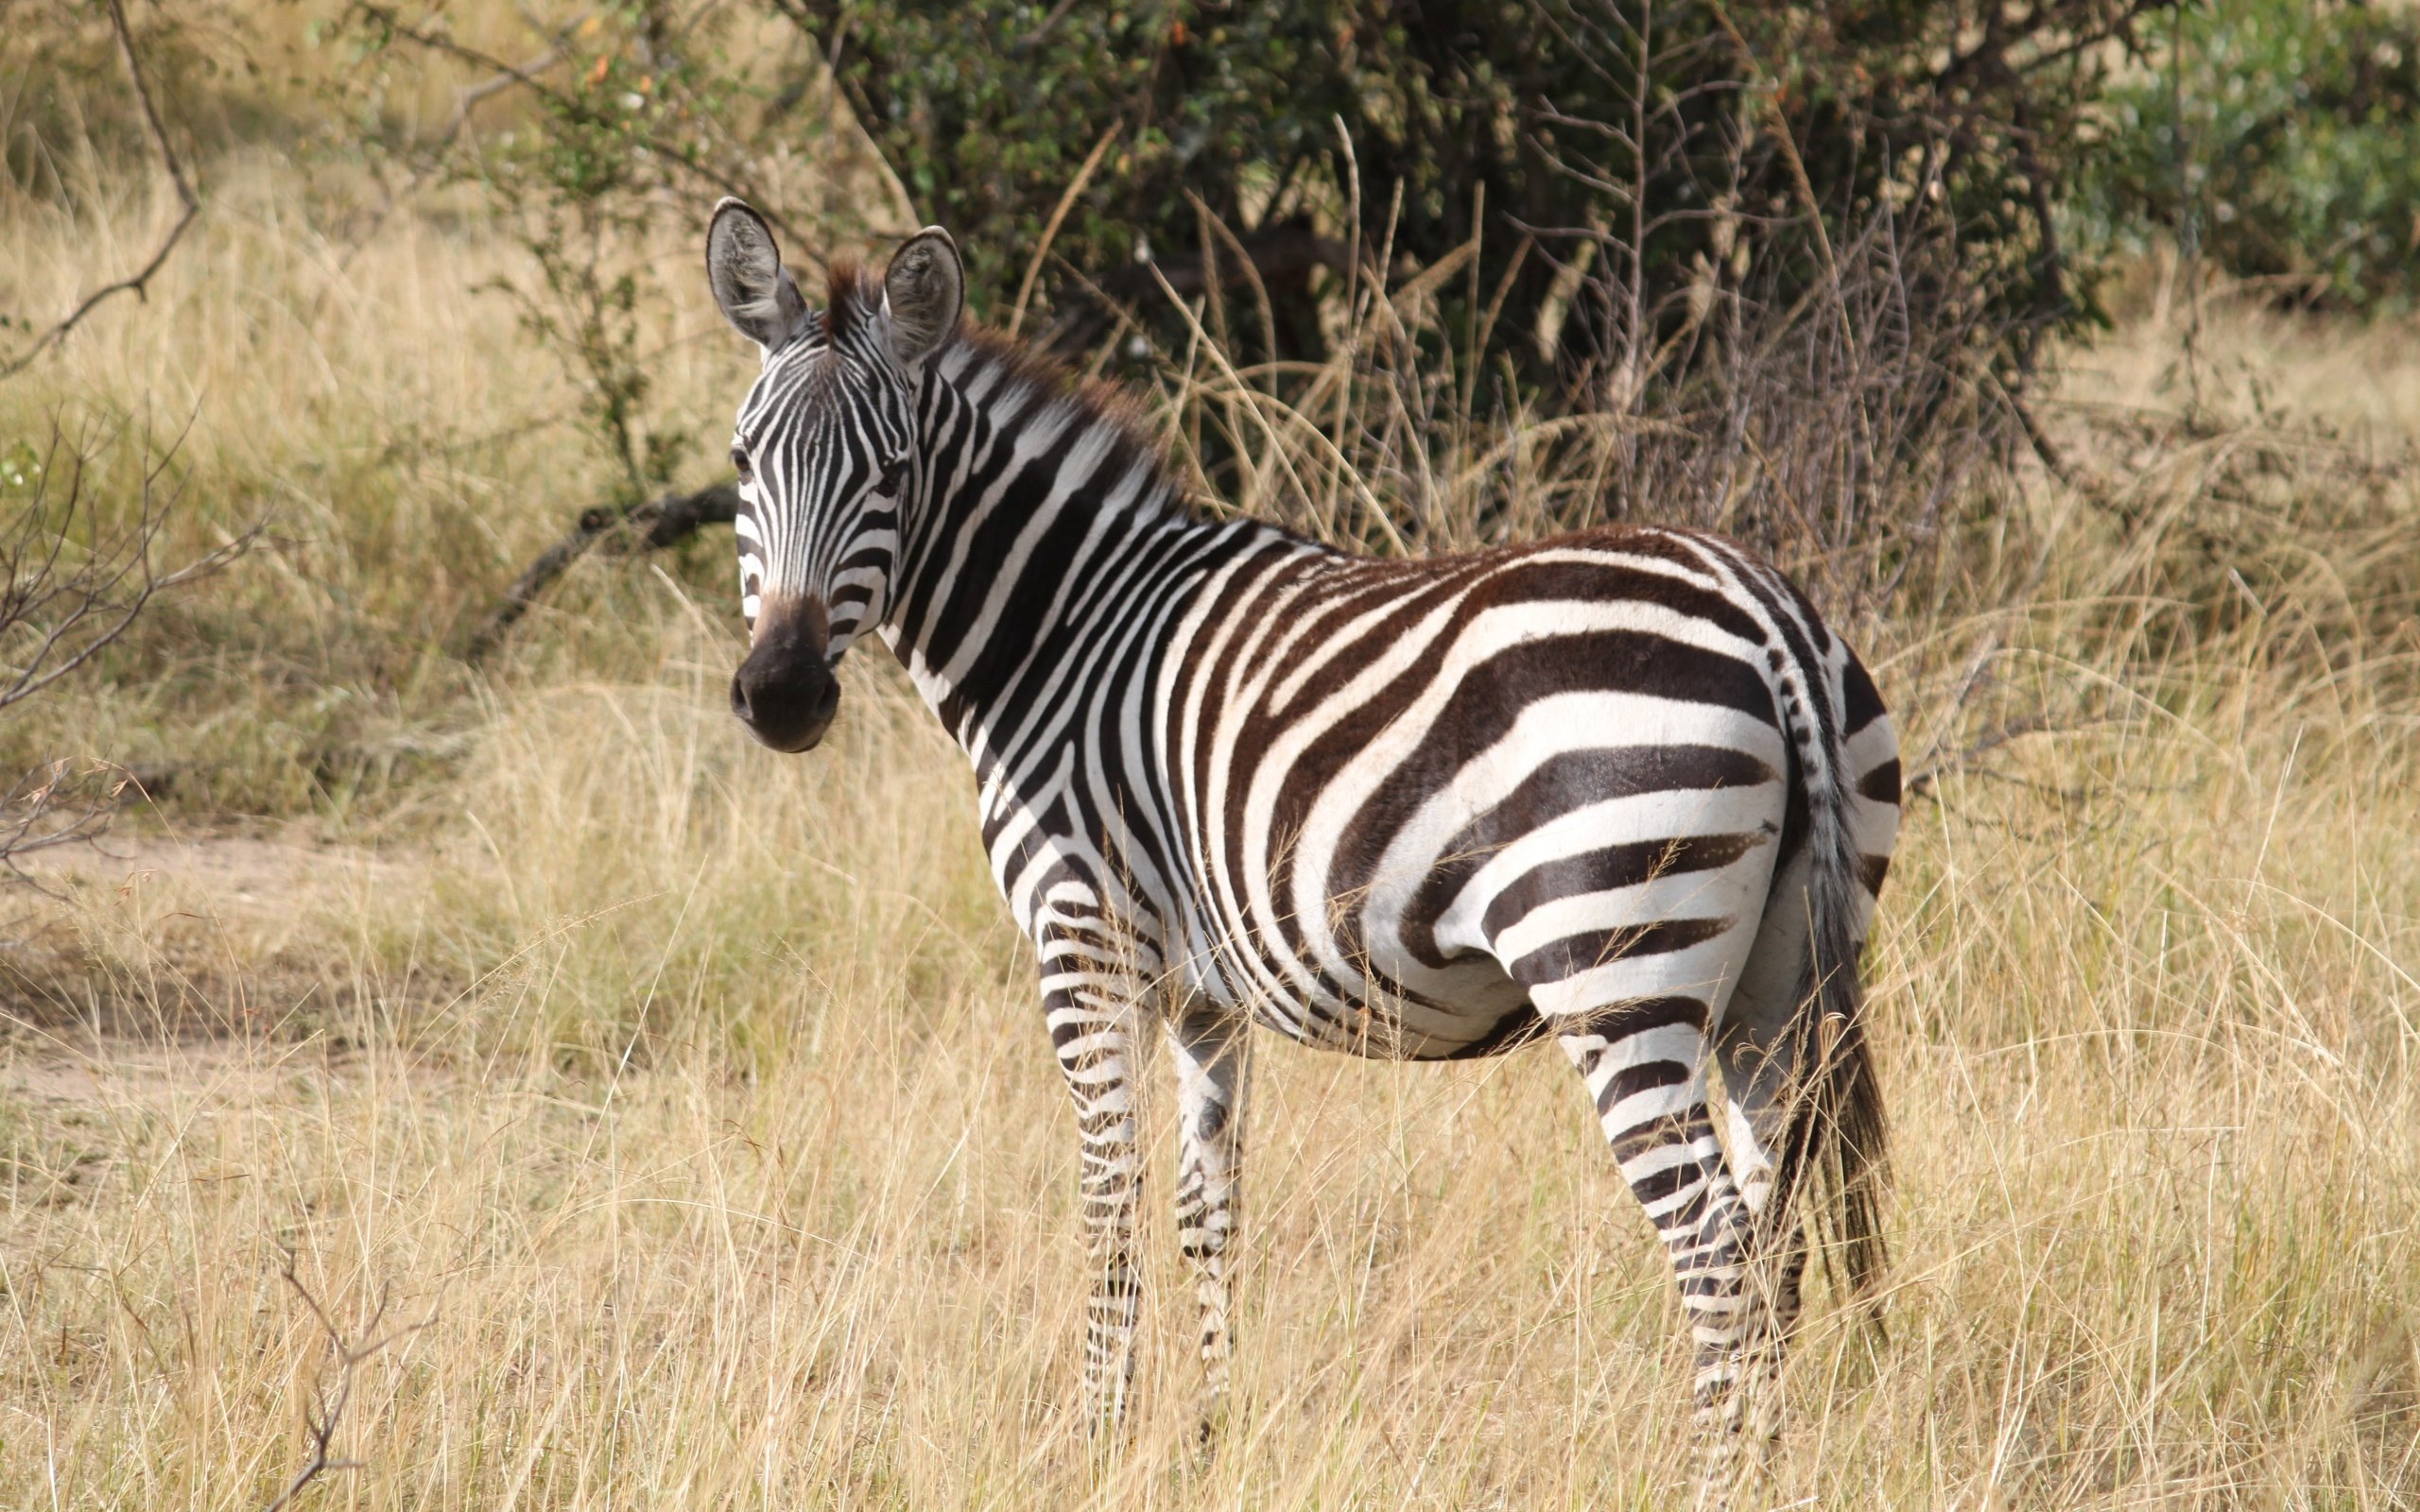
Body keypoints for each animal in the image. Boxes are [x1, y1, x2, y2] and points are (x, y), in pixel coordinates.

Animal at [706, 200, 1907, 1489]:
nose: (781, 697)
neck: (1062, 632)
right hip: (1774, 982)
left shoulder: (1085, 942)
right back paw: (1771, 1470)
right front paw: (1209, 1436)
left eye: (890, 475)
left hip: (1615, 966)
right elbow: (1207, 1209)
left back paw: (1707, 1481)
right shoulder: (1203, 993)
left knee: (1717, 1249)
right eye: (741, 464)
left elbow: (1108, 1196)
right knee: (1775, 1232)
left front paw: (1099, 1439)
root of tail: (1763, 613)